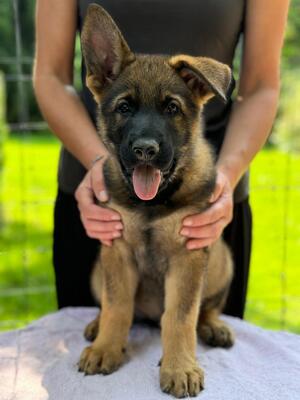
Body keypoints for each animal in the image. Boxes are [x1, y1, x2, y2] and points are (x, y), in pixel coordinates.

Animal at [78, 3, 234, 396]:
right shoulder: (116, 248)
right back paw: (96, 327)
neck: (152, 203)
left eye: (172, 109)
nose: (145, 150)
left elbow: (180, 316)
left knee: (206, 308)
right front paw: (105, 347)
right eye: (124, 108)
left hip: (221, 260)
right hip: (98, 267)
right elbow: (117, 306)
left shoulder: (189, 255)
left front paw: (180, 367)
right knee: (112, 305)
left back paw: (214, 326)